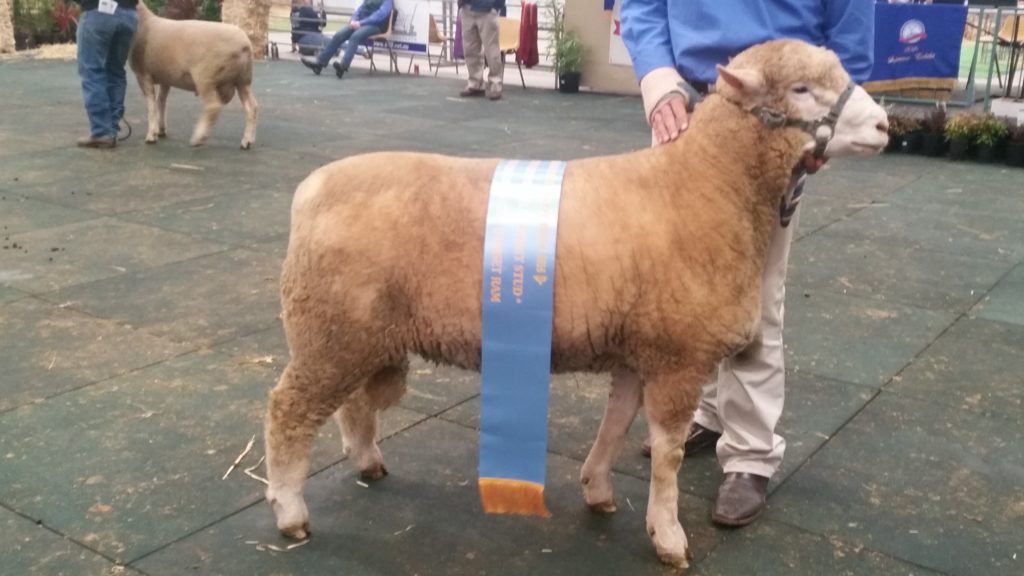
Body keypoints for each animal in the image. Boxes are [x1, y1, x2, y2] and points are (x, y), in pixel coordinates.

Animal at [129, 2, 258, 149]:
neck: (144, 22)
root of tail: (244, 45)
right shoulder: (166, 77)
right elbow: (161, 101)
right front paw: (161, 129)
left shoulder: (143, 73)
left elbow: (151, 105)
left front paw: (151, 135)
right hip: (243, 80)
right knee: (252, 107)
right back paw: (247, 141)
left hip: (205, 77)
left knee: (213, 106)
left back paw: (199, 138)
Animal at [263, 39, 889, 568]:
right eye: (802, 89)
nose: (885, 125)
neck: (704, 183)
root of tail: (309, 190)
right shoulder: (678, 357)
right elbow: (667, 457)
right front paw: (668, 537)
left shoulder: (639, 349)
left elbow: (615, 425)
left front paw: (598, 490)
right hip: (328, 330)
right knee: (288, 412)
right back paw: (291, 513)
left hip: (356, 335)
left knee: (350, 405)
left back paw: (367, 460)